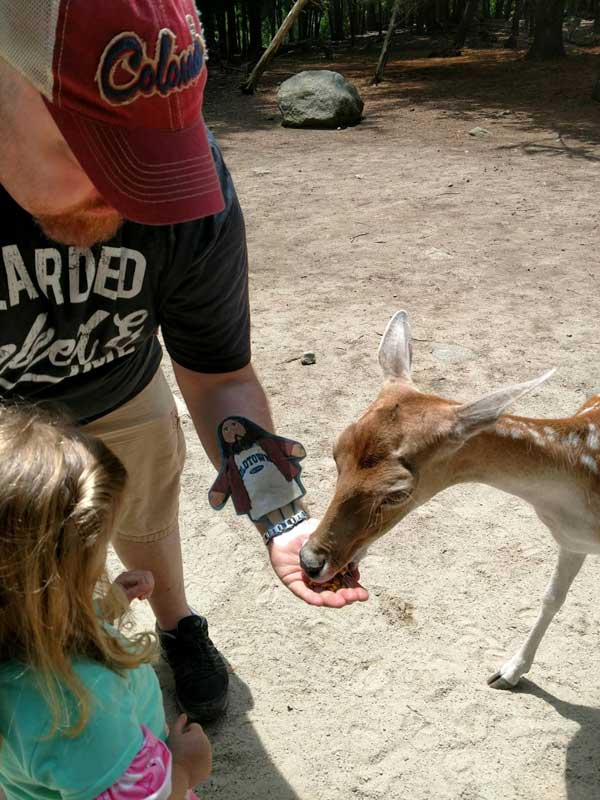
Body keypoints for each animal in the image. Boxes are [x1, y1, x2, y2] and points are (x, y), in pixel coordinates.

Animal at [302, 310, 600, 688]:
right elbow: (552, 598)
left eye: (397, 492)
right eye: (336, 453)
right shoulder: (571, 542)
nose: (310, 561)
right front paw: (508, 672)